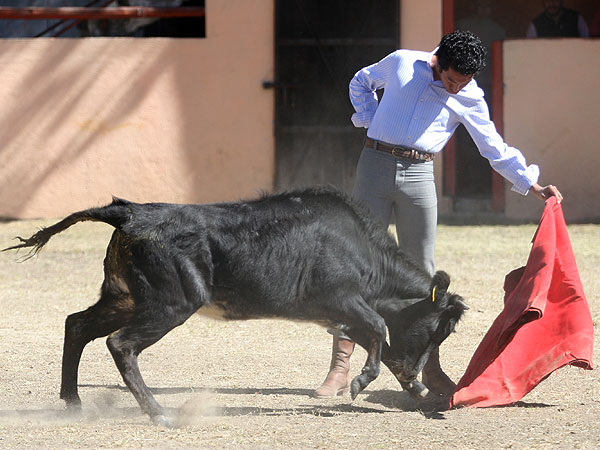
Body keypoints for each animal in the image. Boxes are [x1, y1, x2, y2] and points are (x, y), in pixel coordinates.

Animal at [2, 187, 466, 426]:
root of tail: (130, 212)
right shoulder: (344, 299)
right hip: (171, 304)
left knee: (77, 325)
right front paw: (361, 382)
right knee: (121, 344)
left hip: (124, 297)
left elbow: (375, 333)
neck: (364, 254)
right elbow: (379, 328)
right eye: (435, 329)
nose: (418, 381)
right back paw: (159, 414)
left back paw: (73, 403)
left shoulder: (341, 314)